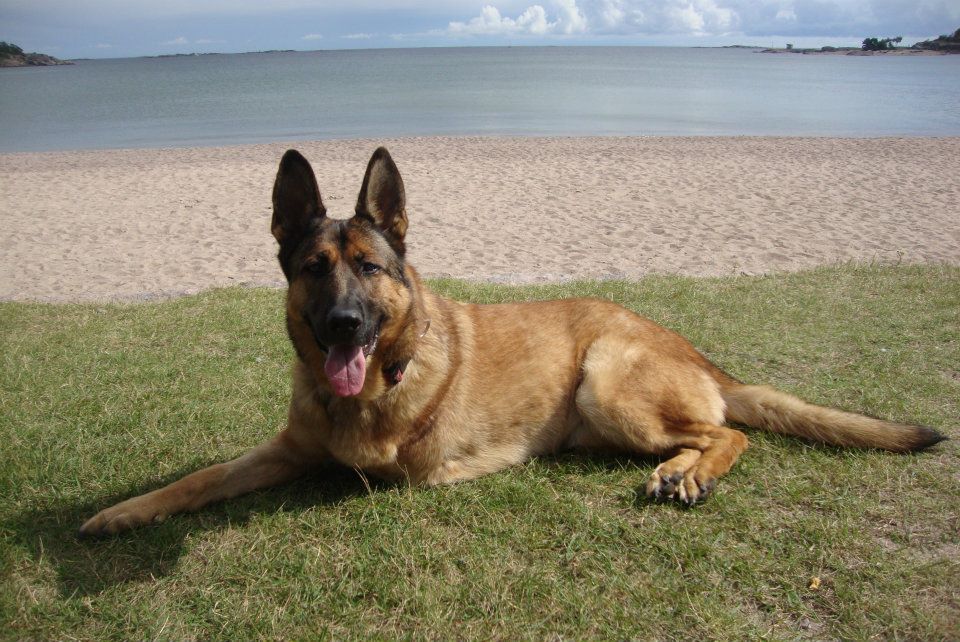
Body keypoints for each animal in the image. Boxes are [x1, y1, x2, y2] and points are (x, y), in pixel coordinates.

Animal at [77, 146, 944, 536]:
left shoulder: (395, 471)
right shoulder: (283, 451)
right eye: (315, 269)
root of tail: (695, 351)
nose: (344, 326)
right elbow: (200, 479)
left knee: (728, 432)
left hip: (609, 380)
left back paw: (687, 474)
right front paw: (122, 512)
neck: (381, 377)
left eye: (369, 268)